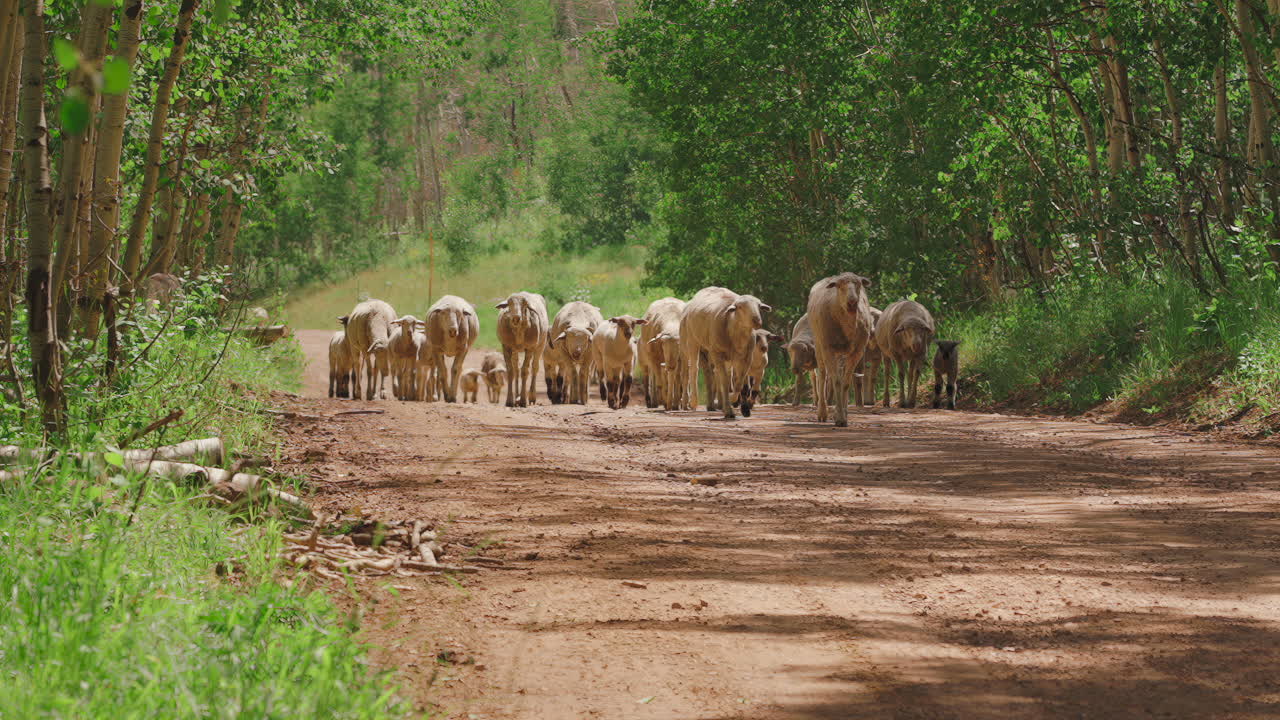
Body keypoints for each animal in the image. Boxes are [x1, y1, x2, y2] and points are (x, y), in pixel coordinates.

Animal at [679, 287, 772, 419]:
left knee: (714, 374)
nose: (757, 320)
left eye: (759, 306)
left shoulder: (746, 357)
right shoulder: (718, 354)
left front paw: (738, 404)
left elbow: (739, 384)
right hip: (691, 341)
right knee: (693, 369)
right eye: (740, 307)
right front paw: (729, 409)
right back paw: (693, 401)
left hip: (714, 353)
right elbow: (724, 383)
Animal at [807, 273, 875, 427]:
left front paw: (843, 416)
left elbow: (846, 382)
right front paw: (838, 418)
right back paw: (822, 413)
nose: (852, 302)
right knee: (823, 375)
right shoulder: (828, 348)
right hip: (819, 344)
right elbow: (837, 381)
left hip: (842, 353)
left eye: (859, 284)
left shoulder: (857, 352)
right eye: (839, 286)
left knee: (841, 375)